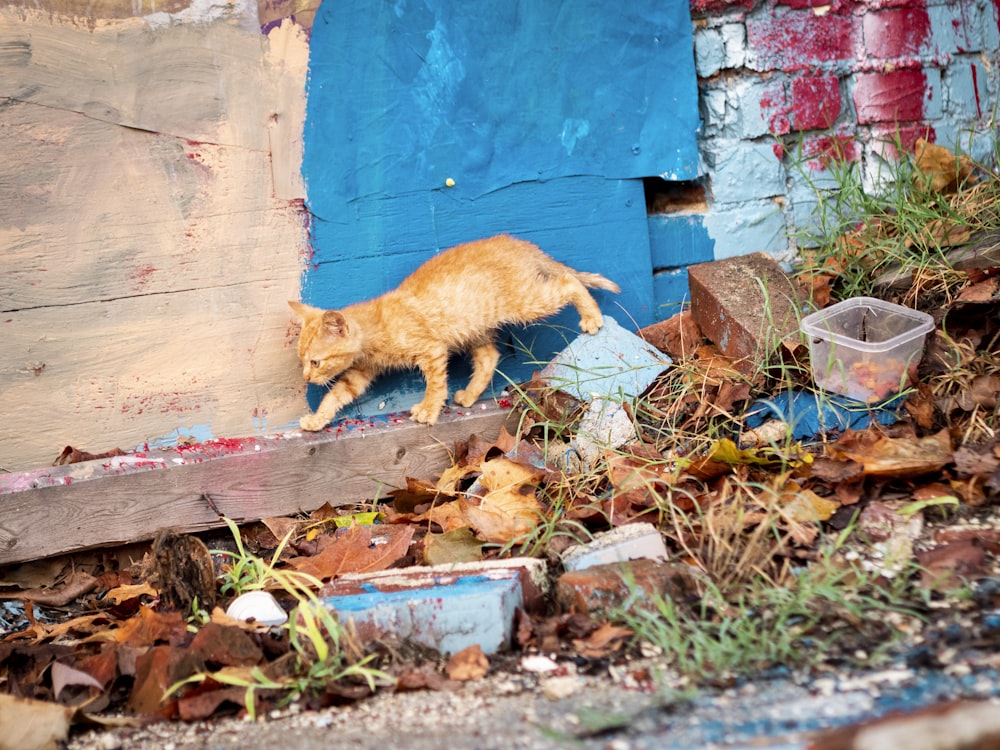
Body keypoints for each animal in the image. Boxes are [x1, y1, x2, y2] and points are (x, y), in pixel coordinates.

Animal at [288, 238, 616, 432]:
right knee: (488, 356)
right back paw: (470, 395)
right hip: (475, 326)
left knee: (568, 281)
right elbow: (336, 394)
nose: (305, 377)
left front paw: (428, 409)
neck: (374, 328)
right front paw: (317, 419)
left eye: (315, 362)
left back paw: (591, 317)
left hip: (526, 302)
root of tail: (520, 243)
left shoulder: (431, 349)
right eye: (302, 361)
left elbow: (435, 384)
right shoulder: (360, 372)